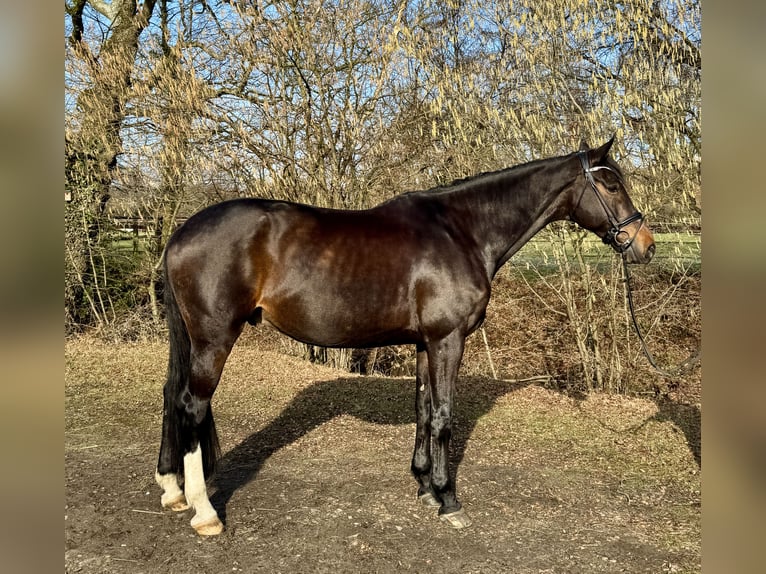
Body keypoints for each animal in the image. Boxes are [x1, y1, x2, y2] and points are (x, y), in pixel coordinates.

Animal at [154, 137, 655, 535]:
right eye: (611, 184)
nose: (645, 246)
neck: (462, 232)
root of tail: (180, 233)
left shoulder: (424, 343)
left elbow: (423, 409)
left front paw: (423, 485)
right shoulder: (448, 340)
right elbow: (444, 417)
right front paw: (448, 499)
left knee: (171, 396)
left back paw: (171, 488)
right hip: (215, 338)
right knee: (192, 404)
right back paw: (204, 512)